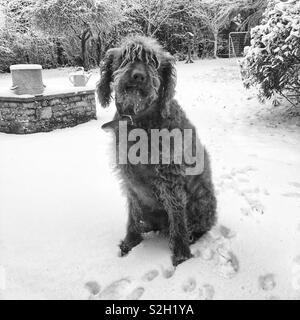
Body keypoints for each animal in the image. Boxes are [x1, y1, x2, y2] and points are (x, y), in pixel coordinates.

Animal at [96, 36, 216, 266]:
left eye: (154, 63)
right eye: (125, 57)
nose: (138, 76)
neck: (138, 122)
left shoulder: (171, 179)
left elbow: (178, 219)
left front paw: (181, 256)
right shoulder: (129, 179)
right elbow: (133, 214)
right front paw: (130, 242)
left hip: (201, 201)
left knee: (196, 226)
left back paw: (191, 236)